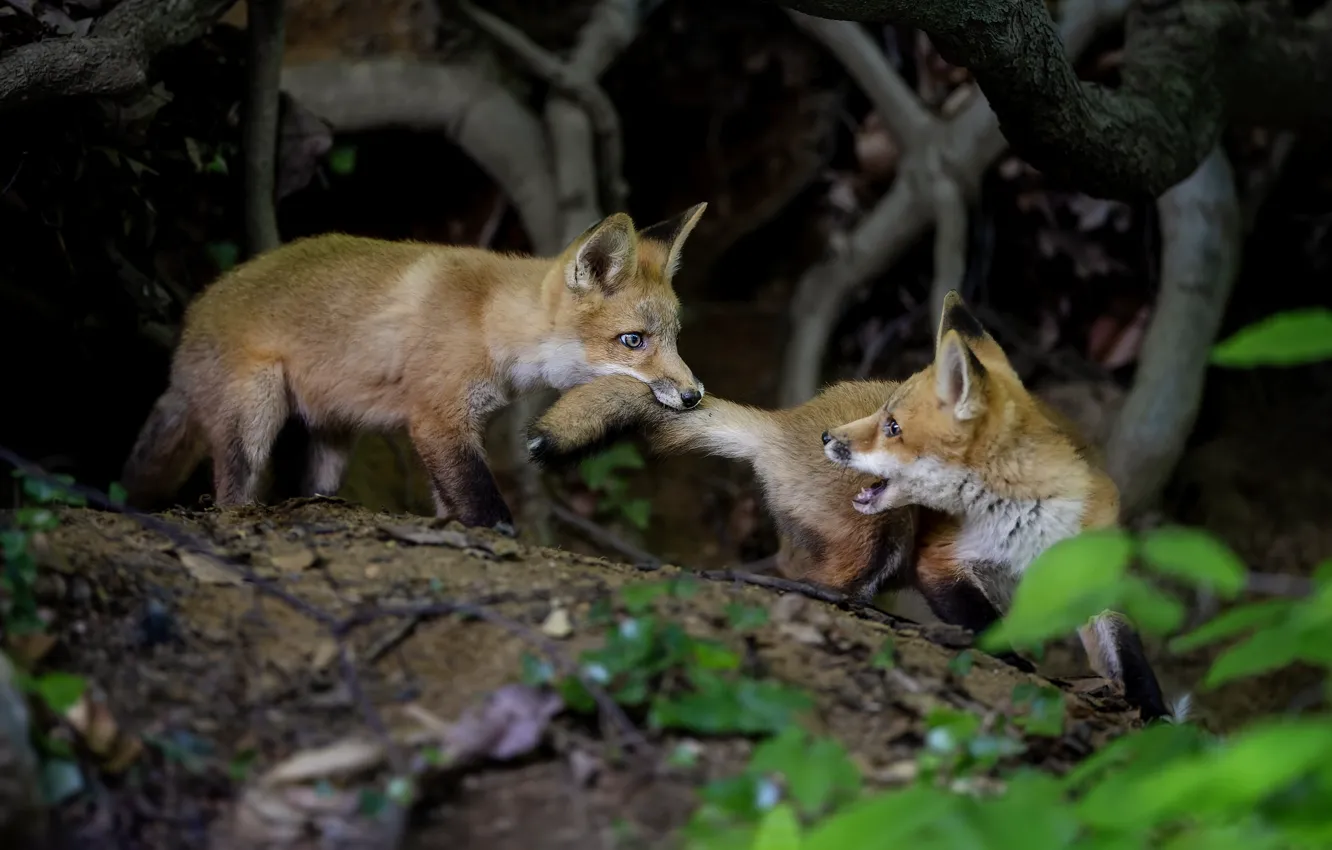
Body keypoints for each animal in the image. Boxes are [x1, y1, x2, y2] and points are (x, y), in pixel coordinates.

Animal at [120, 204, 710, 532]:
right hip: (256, 410)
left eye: (674, 338)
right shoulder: (436, 421)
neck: (487, 322)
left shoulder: (460, 427)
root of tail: (193, 313)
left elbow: (450, 504)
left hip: (332, 439)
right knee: (230, 496)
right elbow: (487, 508)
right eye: (632, 341)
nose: (694, 395)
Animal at [821, 290, 1178, 722]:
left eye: (893, 427)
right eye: (883, 417)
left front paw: (1153, 710)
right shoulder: (941, 559)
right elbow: (986, 624)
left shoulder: (1092, 568)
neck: (1029, 520)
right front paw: (1017, 663)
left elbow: (1130, 653)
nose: (827, 436)